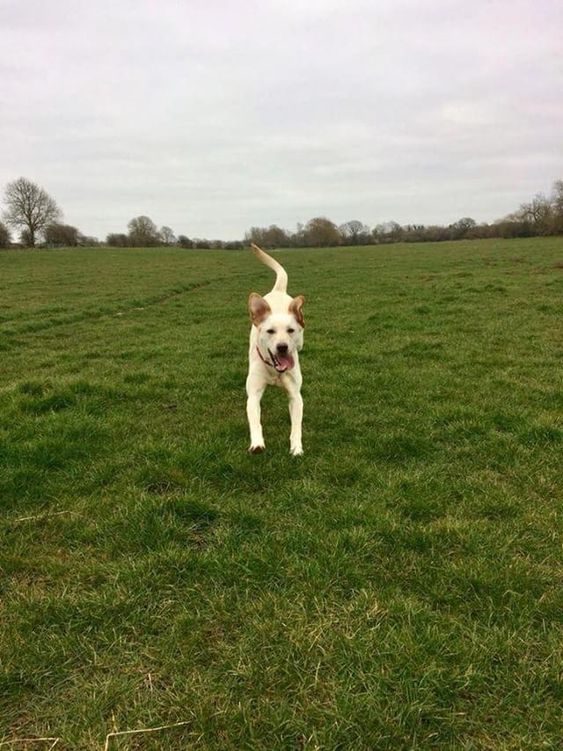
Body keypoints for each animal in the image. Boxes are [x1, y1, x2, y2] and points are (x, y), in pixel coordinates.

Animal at [246, 247, 306, 456]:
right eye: (270, 331)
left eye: (291, 330)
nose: (282, 347)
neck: (275, 370)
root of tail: (277, 291)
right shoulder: (253, 394)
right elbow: (255, 420)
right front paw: (257, 443)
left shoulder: (296, 396)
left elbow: (296, 425)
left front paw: (296, 448)